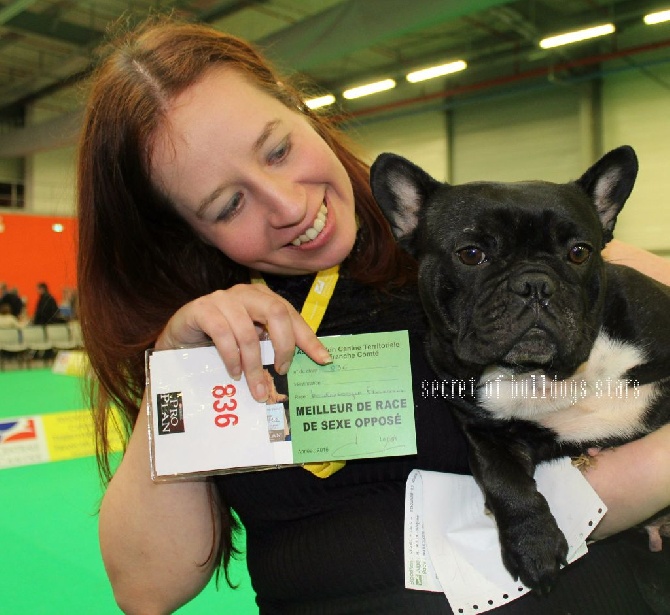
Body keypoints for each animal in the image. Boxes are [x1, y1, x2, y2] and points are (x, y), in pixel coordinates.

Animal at [370, 147, 670, 596]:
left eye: (580, 252)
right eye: (471, 254)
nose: (535, 284)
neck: (537, 374)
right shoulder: (487, 434)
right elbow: (506, 484)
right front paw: (534, 546)